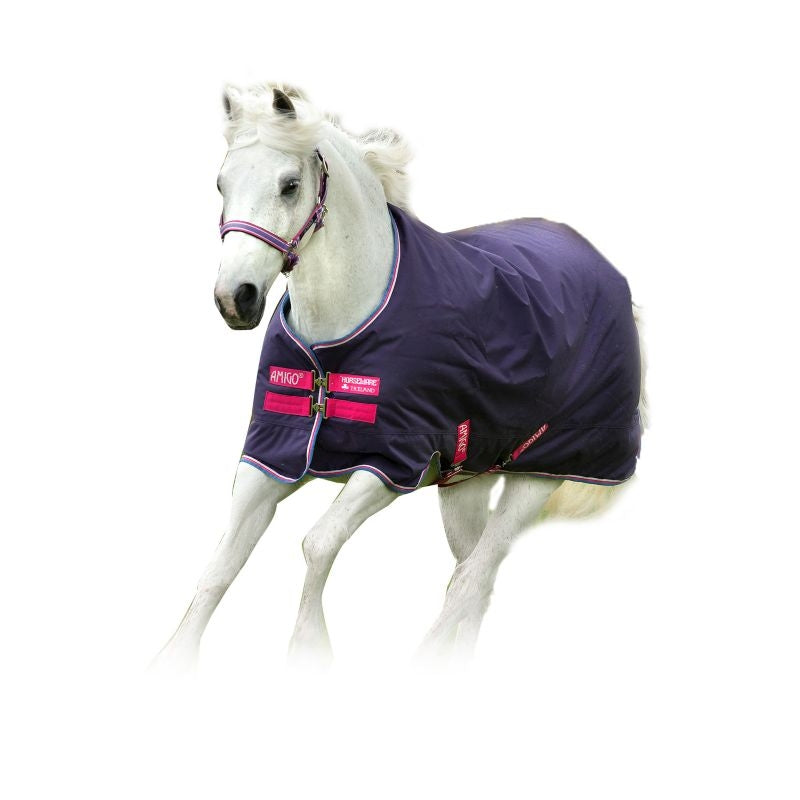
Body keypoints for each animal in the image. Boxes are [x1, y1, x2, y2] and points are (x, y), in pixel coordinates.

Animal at [153, 83, 646, 671]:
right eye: (221, 183)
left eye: (289, 185)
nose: (236, 299)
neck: (339, 337)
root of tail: (605, 269)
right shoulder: (271, 456)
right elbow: (220, 565)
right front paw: (173, 659)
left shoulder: (389, 463)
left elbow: (316, 544)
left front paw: (309, 647)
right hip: (464, 486)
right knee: (475, 579)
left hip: (541, 474)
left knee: (473, 577)